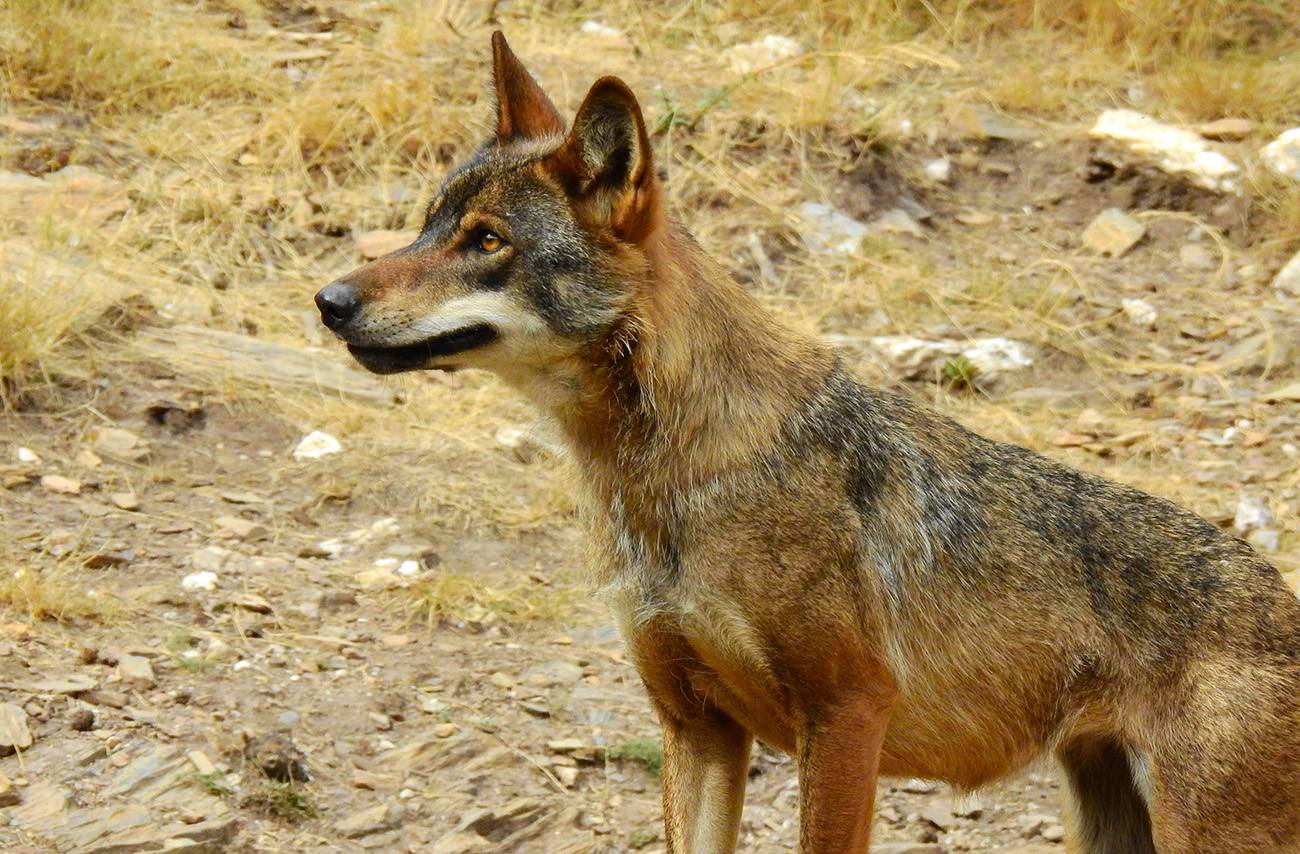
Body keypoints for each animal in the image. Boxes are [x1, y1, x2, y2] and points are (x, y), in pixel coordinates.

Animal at [315, 33, 1300, 853]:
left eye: (488, 242)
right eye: (428, 224)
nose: (328, 301)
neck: (667, 482)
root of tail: (1278, 594)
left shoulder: (846, 716)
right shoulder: (697, 729)